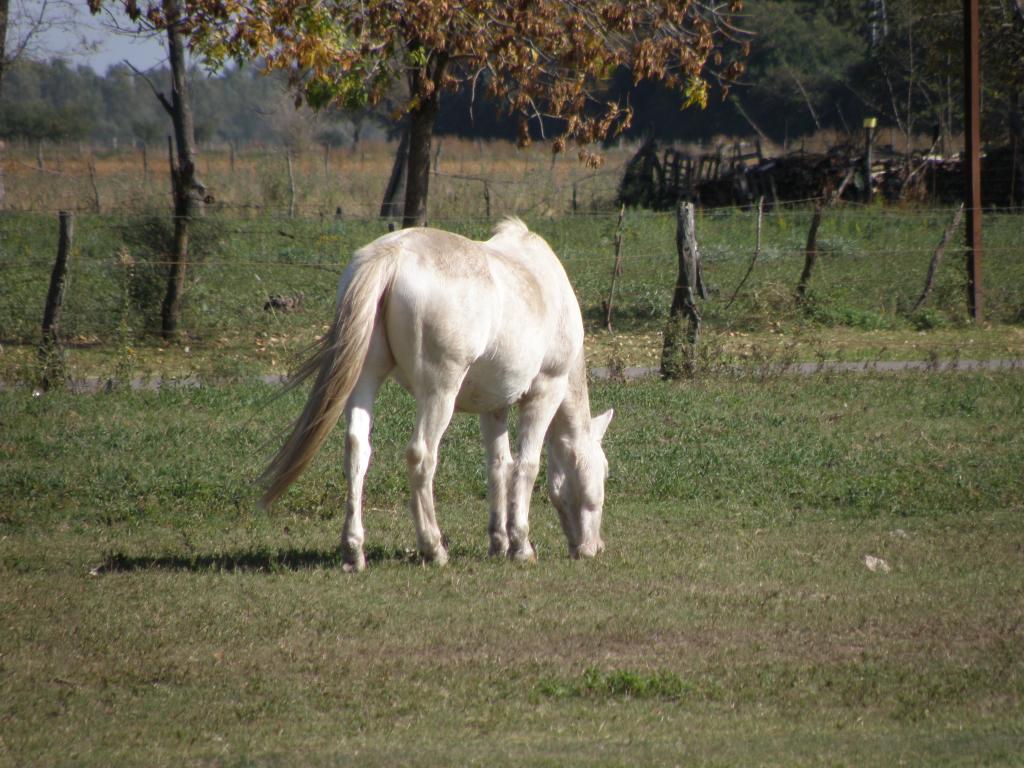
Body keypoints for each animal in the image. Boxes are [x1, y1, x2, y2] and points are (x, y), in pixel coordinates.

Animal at [260, 218, 610, 573]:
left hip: (365, 378)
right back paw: (433, 547)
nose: (594, 548)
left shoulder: (493, 407)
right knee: (422, 454)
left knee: (357, 449)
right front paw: (521, 546)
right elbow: (527, 466)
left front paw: (499, 543)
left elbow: (498, 466)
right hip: (439, 392)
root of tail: (392, 254)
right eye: (604, 471)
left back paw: (353, 552)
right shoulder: (544, 393)